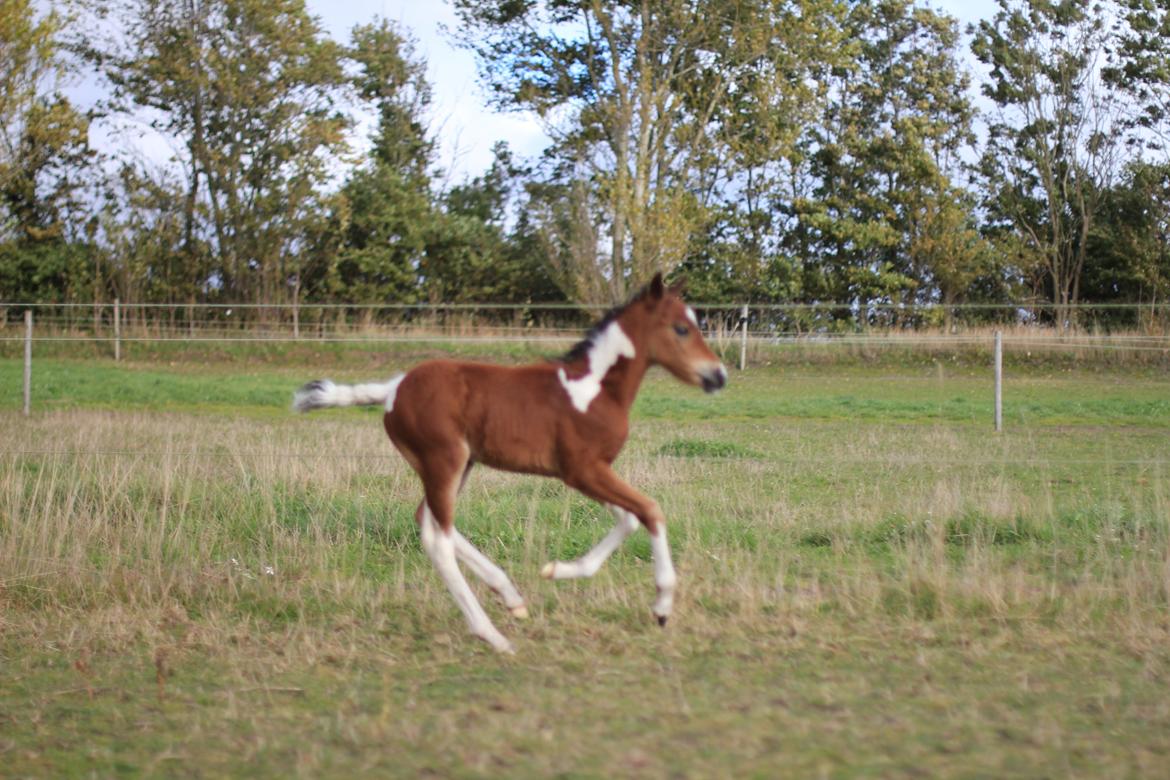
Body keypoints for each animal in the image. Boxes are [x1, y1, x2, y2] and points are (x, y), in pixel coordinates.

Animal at [294, 274, 720, 654]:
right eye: (682, 328)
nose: (718, 376)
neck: (595, 389)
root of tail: (393, 388)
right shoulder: (581, 469)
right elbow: (650, 510)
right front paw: (661, 608)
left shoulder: (590, 472)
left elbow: (629, 518)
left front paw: (558, 571)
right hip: (444, 460)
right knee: (437, 538)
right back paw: (493, 636)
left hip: (459, 464)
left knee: (425, 518)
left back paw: (510, 595)